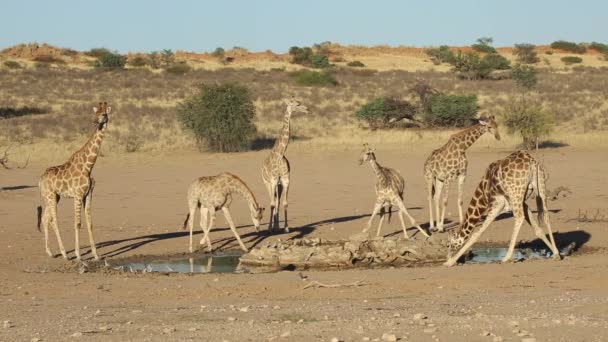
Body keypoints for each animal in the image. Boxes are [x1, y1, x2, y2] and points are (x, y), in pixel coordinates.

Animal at [36, 103, 111, 260]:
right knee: (53, 220)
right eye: (95, 113)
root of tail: (40, 180)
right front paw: (78, 255)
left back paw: (50, 252)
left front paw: (96, 255)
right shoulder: (77, 195)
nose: (94, 122)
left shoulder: (88, 194)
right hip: (50, 196)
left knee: (46, 218)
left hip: (53, 197)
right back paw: (65, 253)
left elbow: (90, 223)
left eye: (104, 114)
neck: (88, 166)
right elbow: (78, 223)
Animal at [262, 97, 308, 234]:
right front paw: (269, 228)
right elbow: (272, 204)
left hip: (279, 185)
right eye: (297, 104)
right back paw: (272, 227)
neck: (280, 154)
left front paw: (286, 228)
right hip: (267, 183)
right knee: (272, 201)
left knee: (277, 201)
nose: (307, 109)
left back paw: (277, 226)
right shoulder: (272, 181)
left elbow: (285, 203)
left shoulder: (286, 180)